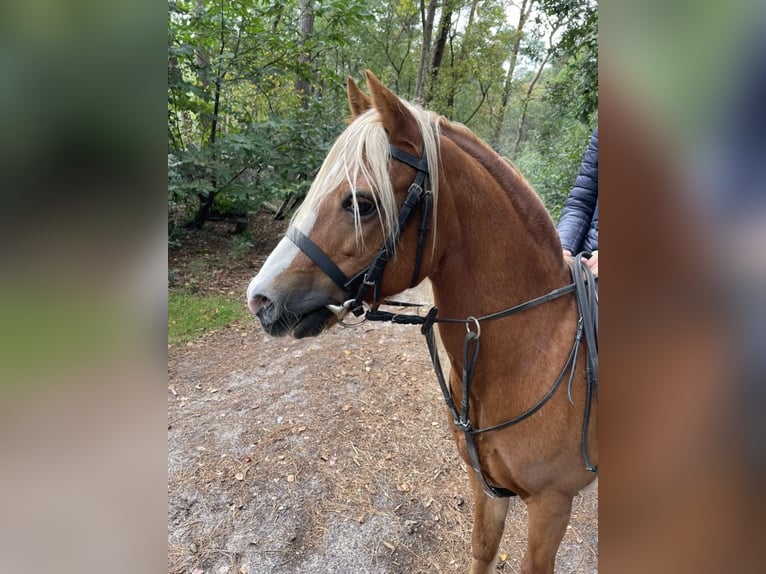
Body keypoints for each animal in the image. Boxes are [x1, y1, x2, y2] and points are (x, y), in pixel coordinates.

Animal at [248, 73, 600, 574]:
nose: (259, 299)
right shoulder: (487, 487)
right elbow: (483, 552)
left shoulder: (552, 506)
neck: (532, 353)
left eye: (361, 203)